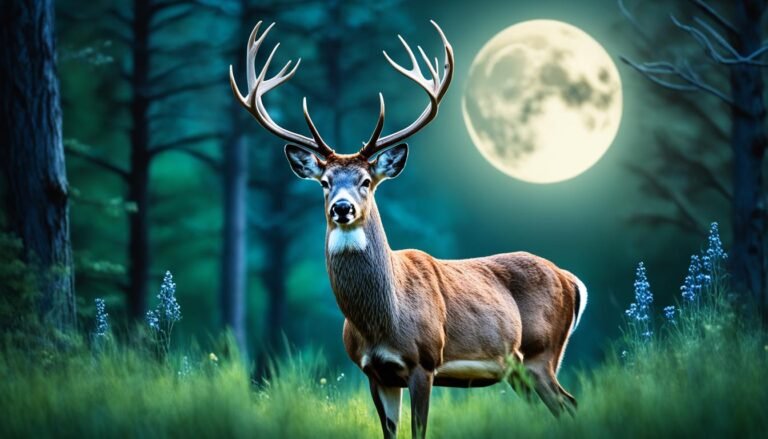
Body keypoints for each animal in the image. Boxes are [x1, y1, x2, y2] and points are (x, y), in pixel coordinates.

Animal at [230, 20, 587, 439]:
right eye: (325, 182)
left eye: (366, 181)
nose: (342, 208)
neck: (382, 319)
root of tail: (569, 279)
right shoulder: (374, 372)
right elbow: (390, 431)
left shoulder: (424, 361)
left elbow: (419, 430)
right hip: (520, 369)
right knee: (561, 407)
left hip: (541, 353)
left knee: (569, 402)